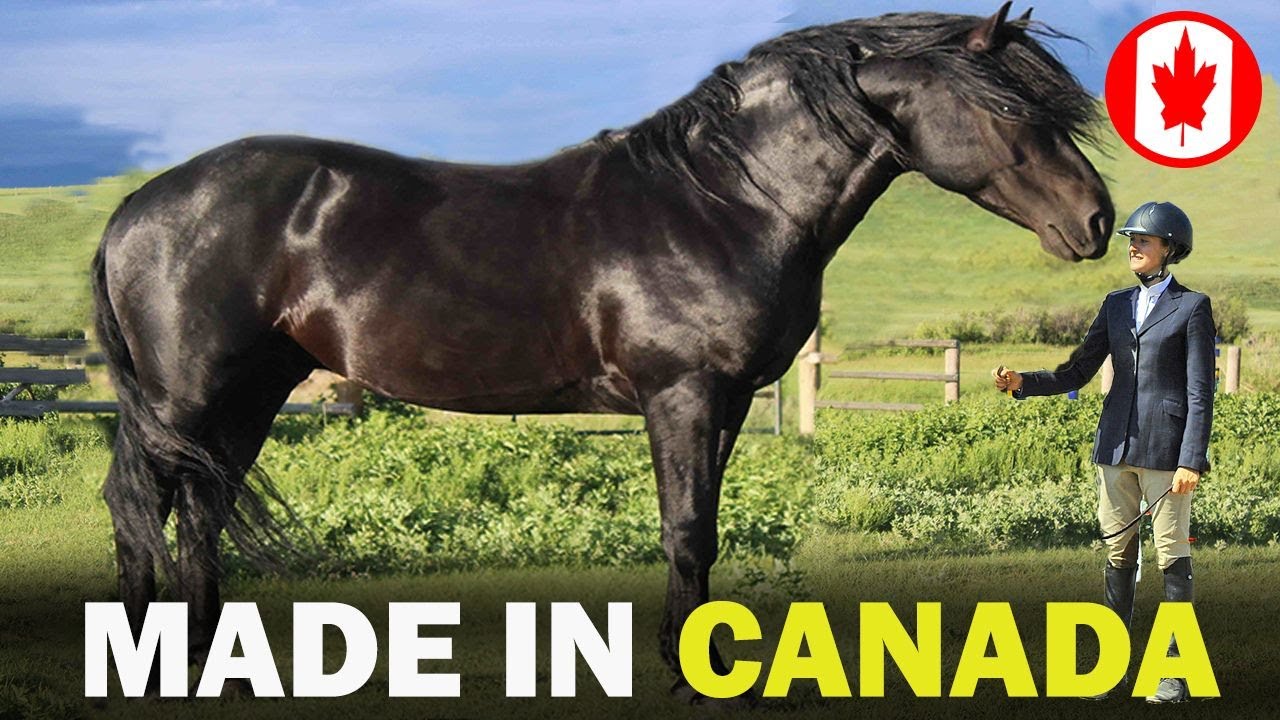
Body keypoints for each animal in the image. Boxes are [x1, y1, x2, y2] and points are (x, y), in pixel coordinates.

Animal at [91, 2, 1111, 700]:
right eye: (1008, 110)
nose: (1098, 222)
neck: (720, 201)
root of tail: (142, 204)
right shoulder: (682, 395)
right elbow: (686, 530)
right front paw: (688, 674)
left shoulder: (726, 403)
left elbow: (702, 530)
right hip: (189, 395)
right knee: (141, 506)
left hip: (247, 395)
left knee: (199, 517)